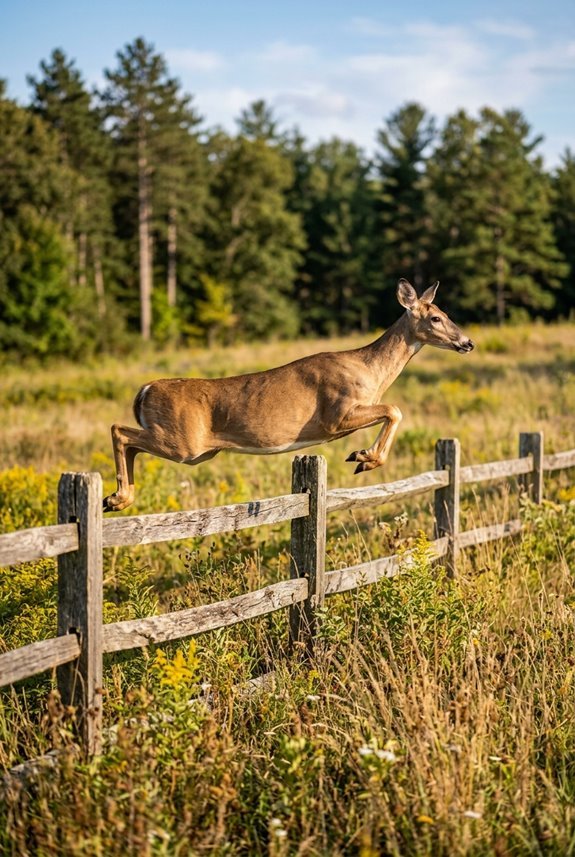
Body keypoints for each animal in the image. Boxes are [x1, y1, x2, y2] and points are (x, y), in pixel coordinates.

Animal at [103, 279, 474, 512]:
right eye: (436, 317)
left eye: (446, 314)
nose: (467, 342)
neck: (370, 372)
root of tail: (144, 390)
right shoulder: (335, 414)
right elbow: (395, 409)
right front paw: (364, 457)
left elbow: (392, 410)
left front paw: (364, 457)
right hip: (185, 442)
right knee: (119, 430)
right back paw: (117, 497)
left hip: (192, 448)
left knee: (130, 440)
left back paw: (117, 499)